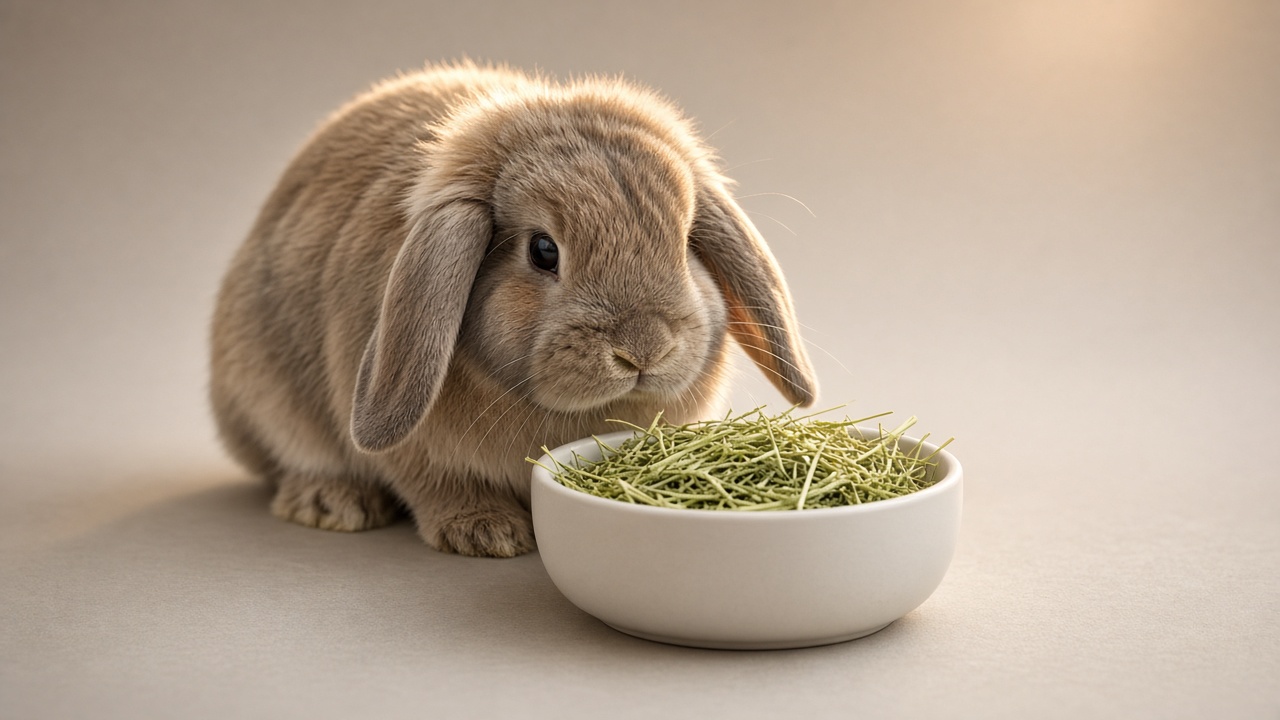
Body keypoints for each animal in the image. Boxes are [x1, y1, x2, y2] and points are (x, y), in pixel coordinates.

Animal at [209, 62, 817, 557]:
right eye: (543, 250)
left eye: (687, 241)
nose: (644, 349)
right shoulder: (416, 454)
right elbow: (435, 483)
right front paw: (487, 534)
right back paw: (333, 504)